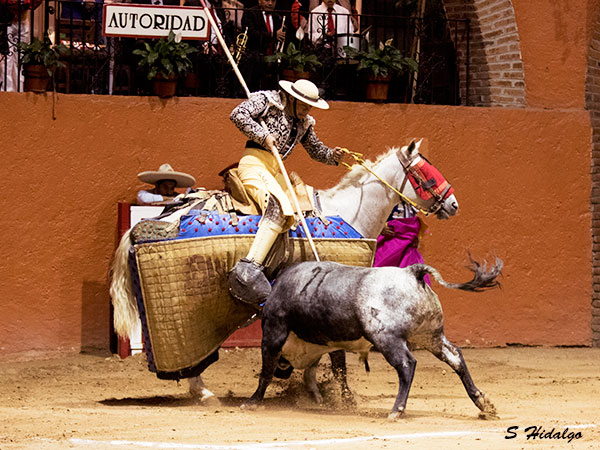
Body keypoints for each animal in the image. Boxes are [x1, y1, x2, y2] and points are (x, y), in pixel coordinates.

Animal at [110, 139, 459, 402]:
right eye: (425, 173)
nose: (453, 204)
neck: (347, 212)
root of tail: (157, 220)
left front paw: (308, 386)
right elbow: (334, 356)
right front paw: (335, 394)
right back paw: (205, 393)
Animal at [241, 257, 502, 419]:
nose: (284, 371)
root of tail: (412, 272)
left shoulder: (273, 334)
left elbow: (266, 372)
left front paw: (253, 401)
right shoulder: (330, 345)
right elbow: (331, 372)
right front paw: (332, 400)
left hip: (387, 338)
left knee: (407, 364)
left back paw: (396, 410)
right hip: (431, 336)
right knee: (455, 356)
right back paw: (482, 402)